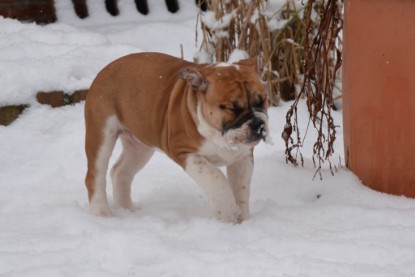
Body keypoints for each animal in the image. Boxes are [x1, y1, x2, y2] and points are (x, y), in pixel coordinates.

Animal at [84, 52, 270, 222]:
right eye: (231, 108)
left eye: (262, 100)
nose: (257, 125)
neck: (218, 136)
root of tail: (106, 69)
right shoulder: (185, 152)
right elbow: (216, 179)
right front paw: (226, 211)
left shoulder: (243, 158)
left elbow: (241, 190)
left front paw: (242, 221)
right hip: (102, 135)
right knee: (95, 176)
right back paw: (103, 215)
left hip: (139, 147)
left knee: (120, 172)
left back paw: (128, 209)